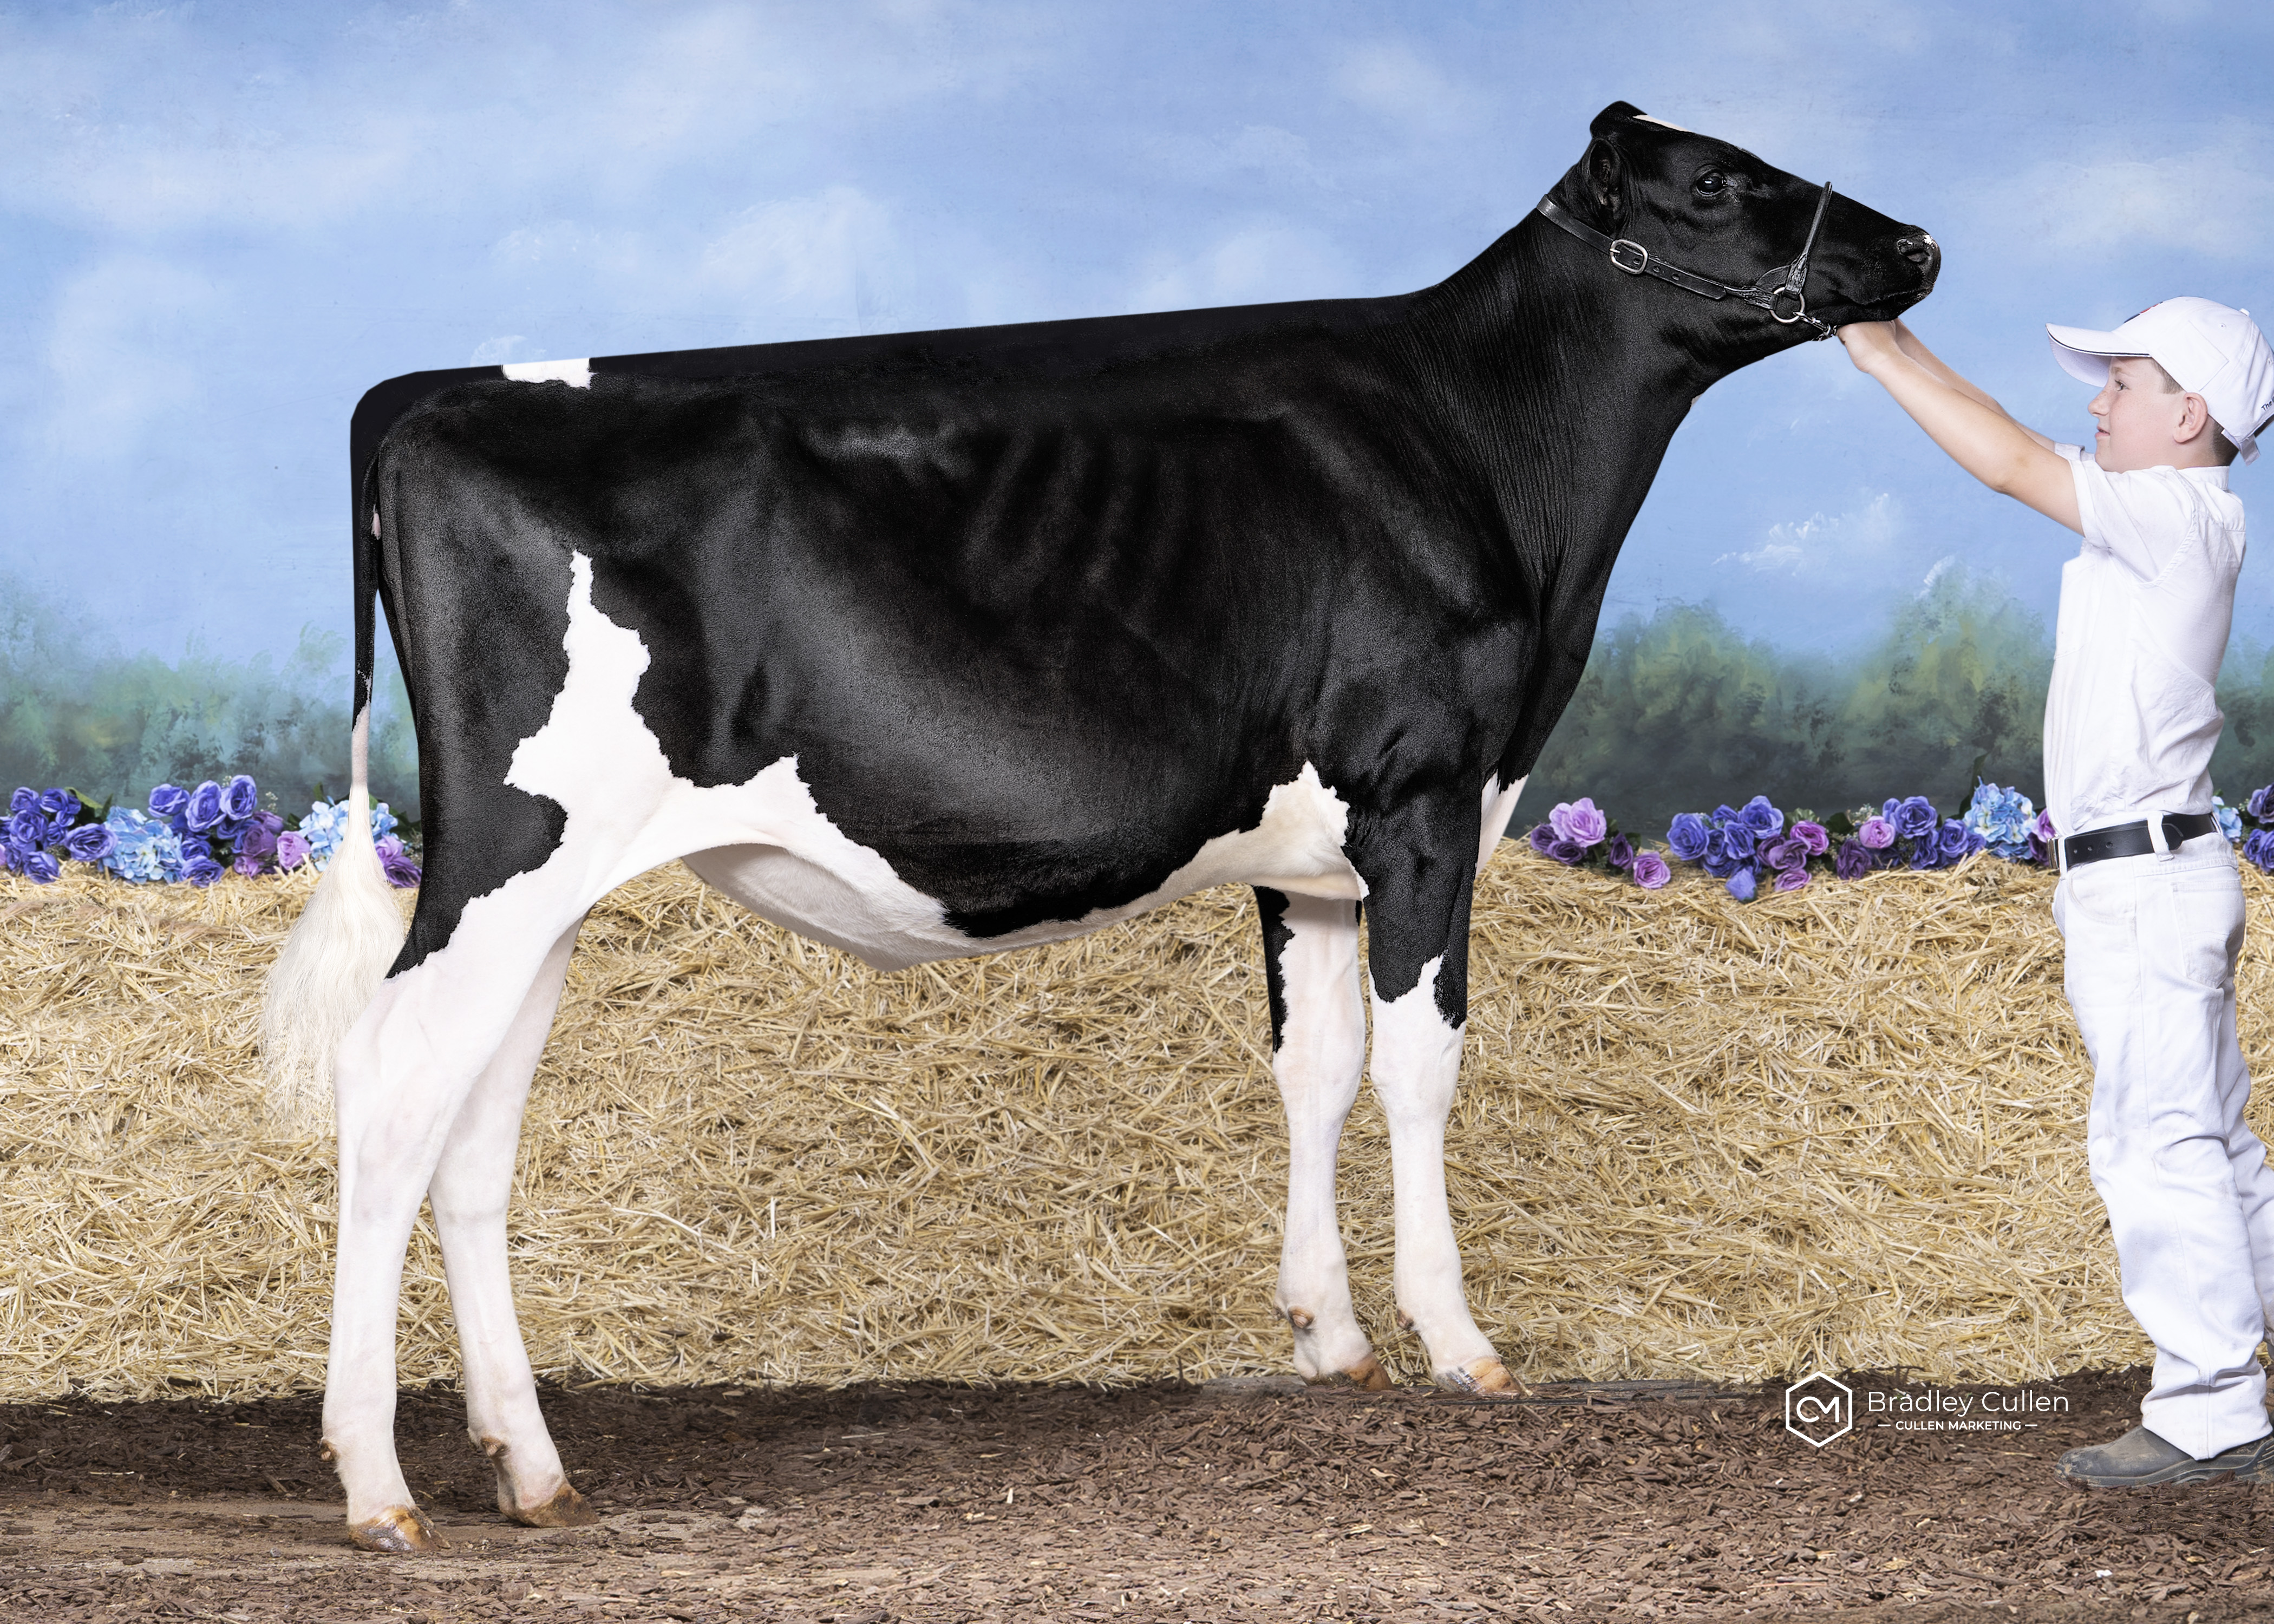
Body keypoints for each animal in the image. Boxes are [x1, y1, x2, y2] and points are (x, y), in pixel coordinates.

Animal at [264, 102, 1937, 1550]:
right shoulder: (1424, 803)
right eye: (1715, 182)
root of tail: (431, 391)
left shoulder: (1308, 861)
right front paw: (1457, 1338)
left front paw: (1330, 1332)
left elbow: (1316, 1068)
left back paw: (529, 1464)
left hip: (546, 889)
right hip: (511, 847)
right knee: (393, 1084)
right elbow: (1419, 1067)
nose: (1918, 243)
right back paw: (377, 1484)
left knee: (472, 1131)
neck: (1478, 447)